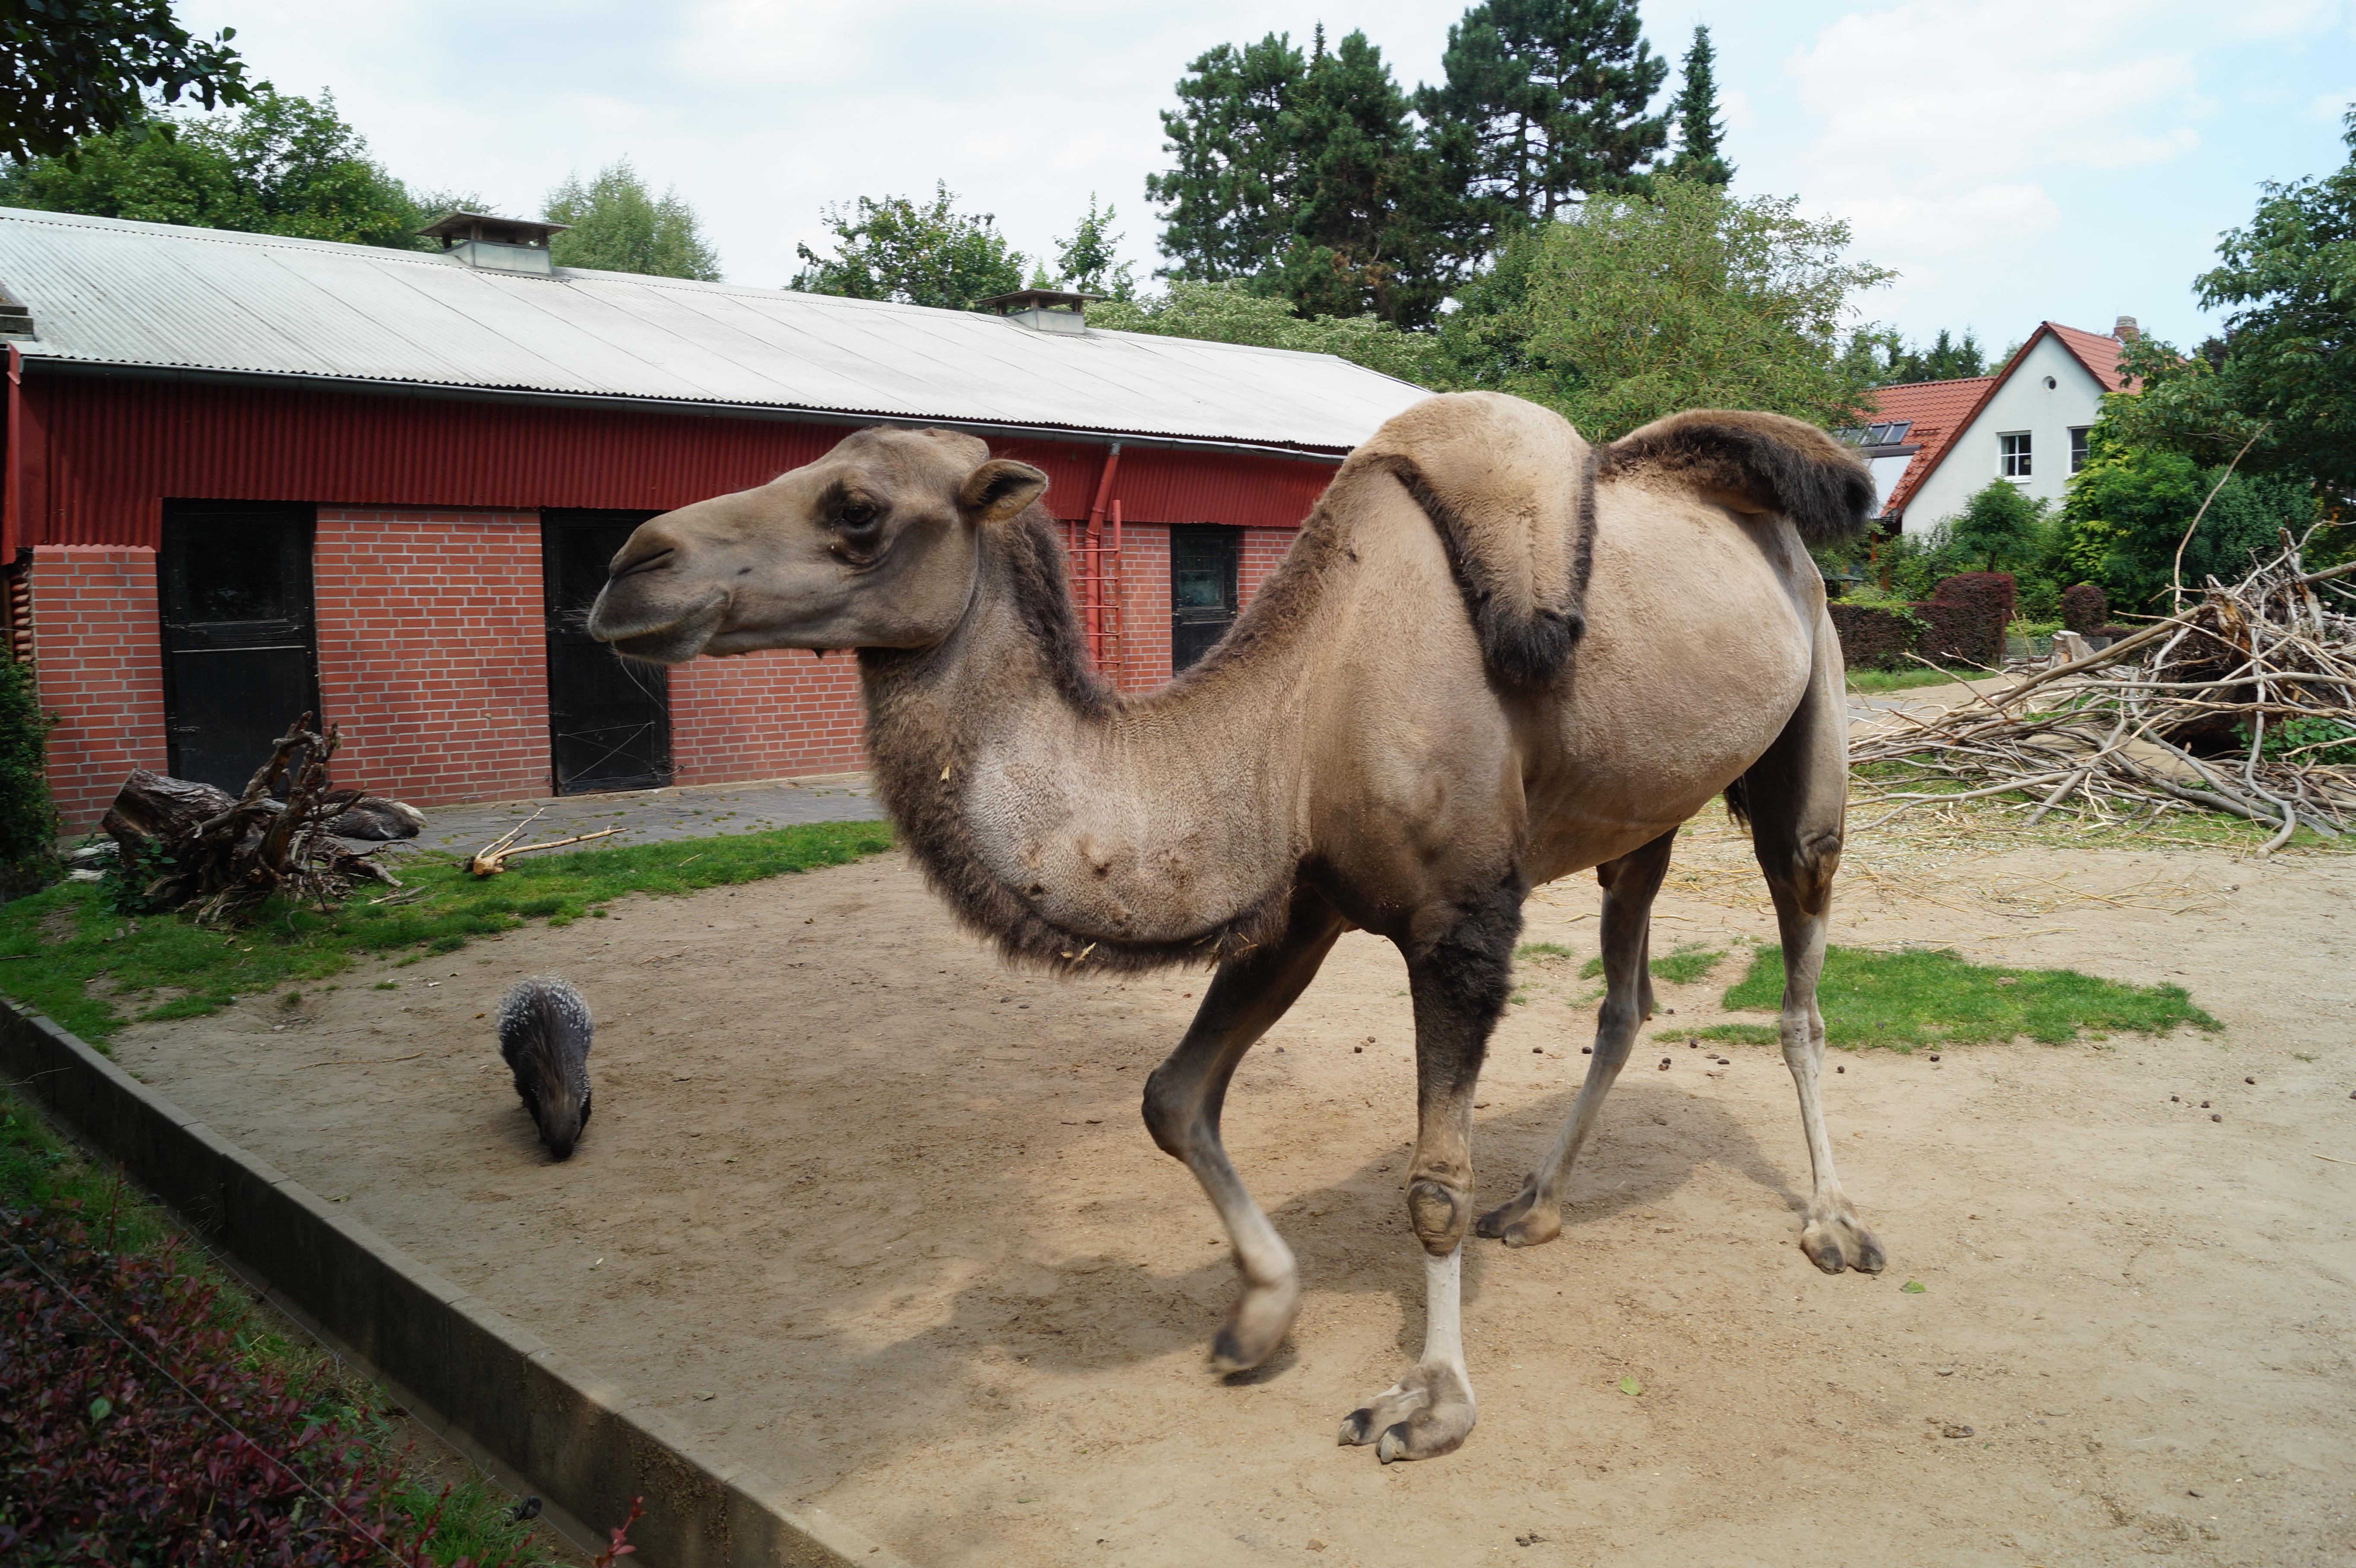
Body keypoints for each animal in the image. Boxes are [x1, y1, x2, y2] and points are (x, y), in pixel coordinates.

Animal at [593, 388, 1894, 1450]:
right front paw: (1261, 1317)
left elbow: (1432, 1182)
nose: (628, 566)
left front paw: (1431, 1400)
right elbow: (1174, 1096)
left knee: (1801, 988)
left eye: (856, 507)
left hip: (1812, 747)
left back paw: (1835, 1223)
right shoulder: (1296, 906)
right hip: (1642, 815)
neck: (1299, 708)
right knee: (1626, 999)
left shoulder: (1460, 921)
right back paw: (1540, 1205)